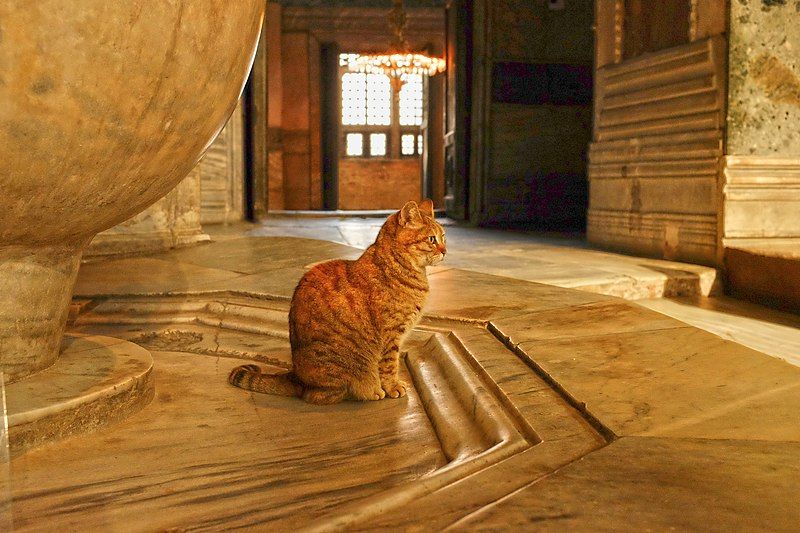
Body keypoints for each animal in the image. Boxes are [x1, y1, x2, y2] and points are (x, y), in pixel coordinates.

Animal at [228, 200, 446, 404]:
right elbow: (390, 365)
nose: (445, 251)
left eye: (443, 237)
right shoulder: (391, 336)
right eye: (432, 239)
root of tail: (297, 378)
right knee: (316, 395)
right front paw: (393, 386)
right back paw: (370, 391)